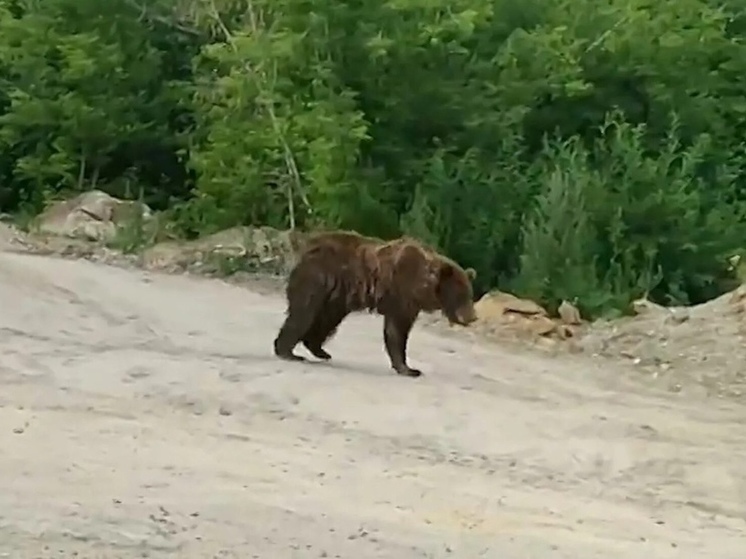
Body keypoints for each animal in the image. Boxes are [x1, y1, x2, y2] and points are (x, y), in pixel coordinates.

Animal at [274, 230, 476, 378]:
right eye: (462, 295)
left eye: (470, 294)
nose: (473, 317)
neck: (423, 284)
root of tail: (307, 248)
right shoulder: (402, 294)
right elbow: (397, 331)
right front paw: (409, 369)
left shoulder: (408, 302)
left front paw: (407, 367)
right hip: (318, 280)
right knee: (304, 313)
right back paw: (288, 352)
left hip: (336, 297)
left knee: (326, 319)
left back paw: (319, 350)